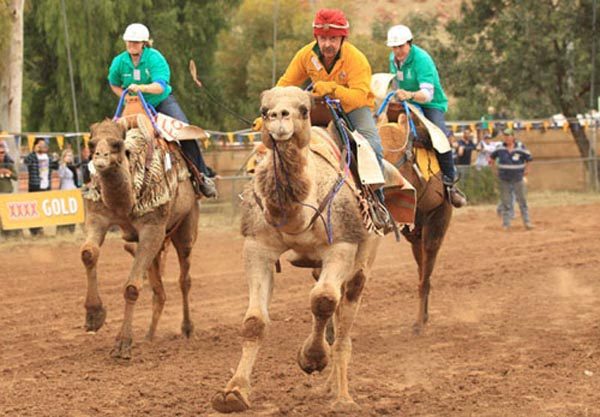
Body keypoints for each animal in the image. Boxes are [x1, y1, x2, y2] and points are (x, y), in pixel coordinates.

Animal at [78, 118, 202, 360]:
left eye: (116, 144)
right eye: (91, 143)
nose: (99, 159)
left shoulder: (152, 228)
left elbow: (132, 287)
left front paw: (122, 344)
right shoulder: (98, 216)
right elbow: (88, 254)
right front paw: (94, 316)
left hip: (185, 227)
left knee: (184, 279)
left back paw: (188, 329)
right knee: (159, 290)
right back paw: (149, 336)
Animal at [211, 85, 380, 412]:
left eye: (303, 109)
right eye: (264, 110)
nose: (279, 117)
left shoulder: (341, 246)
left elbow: (323, 300)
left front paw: (312, 358)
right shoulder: (257, 247)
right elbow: (254, 322)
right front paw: (233, 392)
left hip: (365, 251)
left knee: (346, 310)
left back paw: (343, 397)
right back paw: (331, 388)